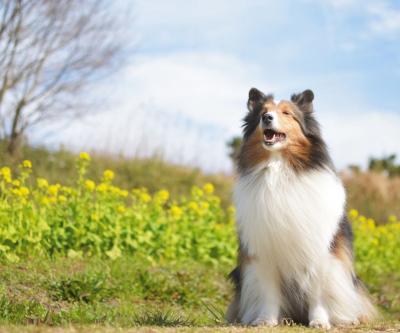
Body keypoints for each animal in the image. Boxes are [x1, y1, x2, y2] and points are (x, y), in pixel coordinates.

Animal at [227, 87, 376, 328]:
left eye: (287, 114)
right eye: (263, 112)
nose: (266, 118)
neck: (280, 170)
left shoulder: (318, 250)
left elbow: (317, 292)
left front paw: (319, 321)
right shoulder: (264, 250)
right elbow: (268, 291)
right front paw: (266, 320)